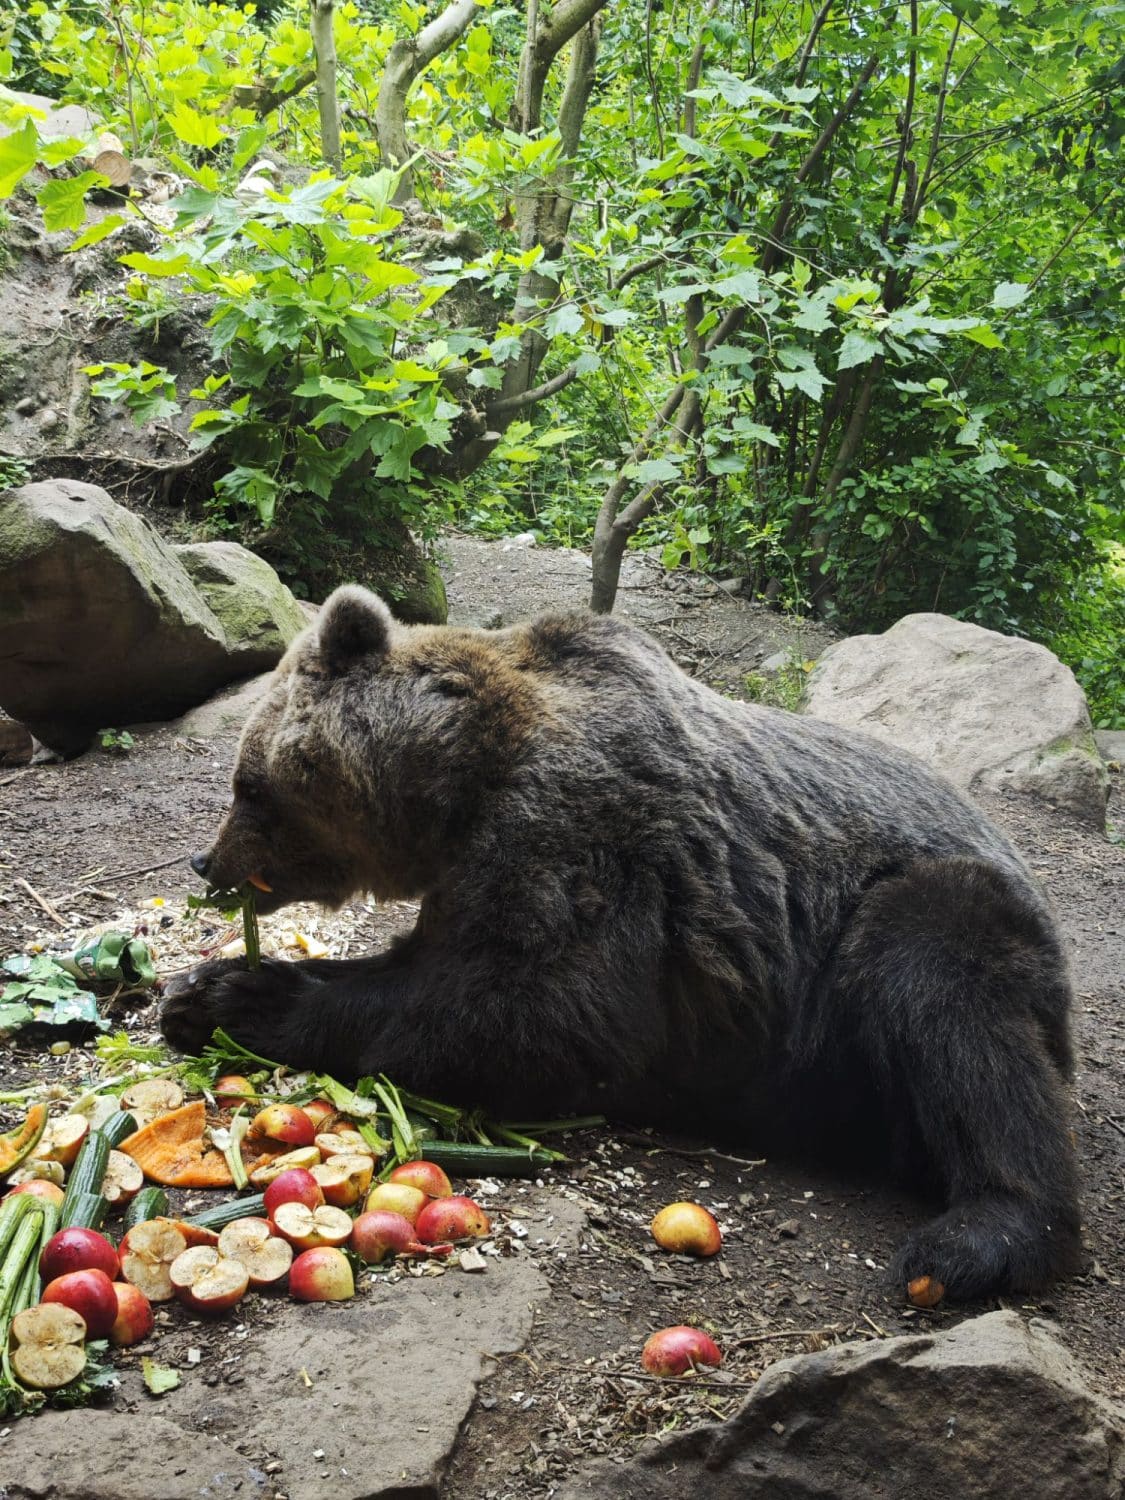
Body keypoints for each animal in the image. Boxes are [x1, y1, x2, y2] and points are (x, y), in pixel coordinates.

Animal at [161, 585, 1082, 1300]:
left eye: (249, 785)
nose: (209, 859)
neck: (457, 787)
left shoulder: (581, 838)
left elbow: (524, 1013)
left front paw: (239, 996)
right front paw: (199, 991)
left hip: (911, 929)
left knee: (952, 1007)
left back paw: (976, 1238)